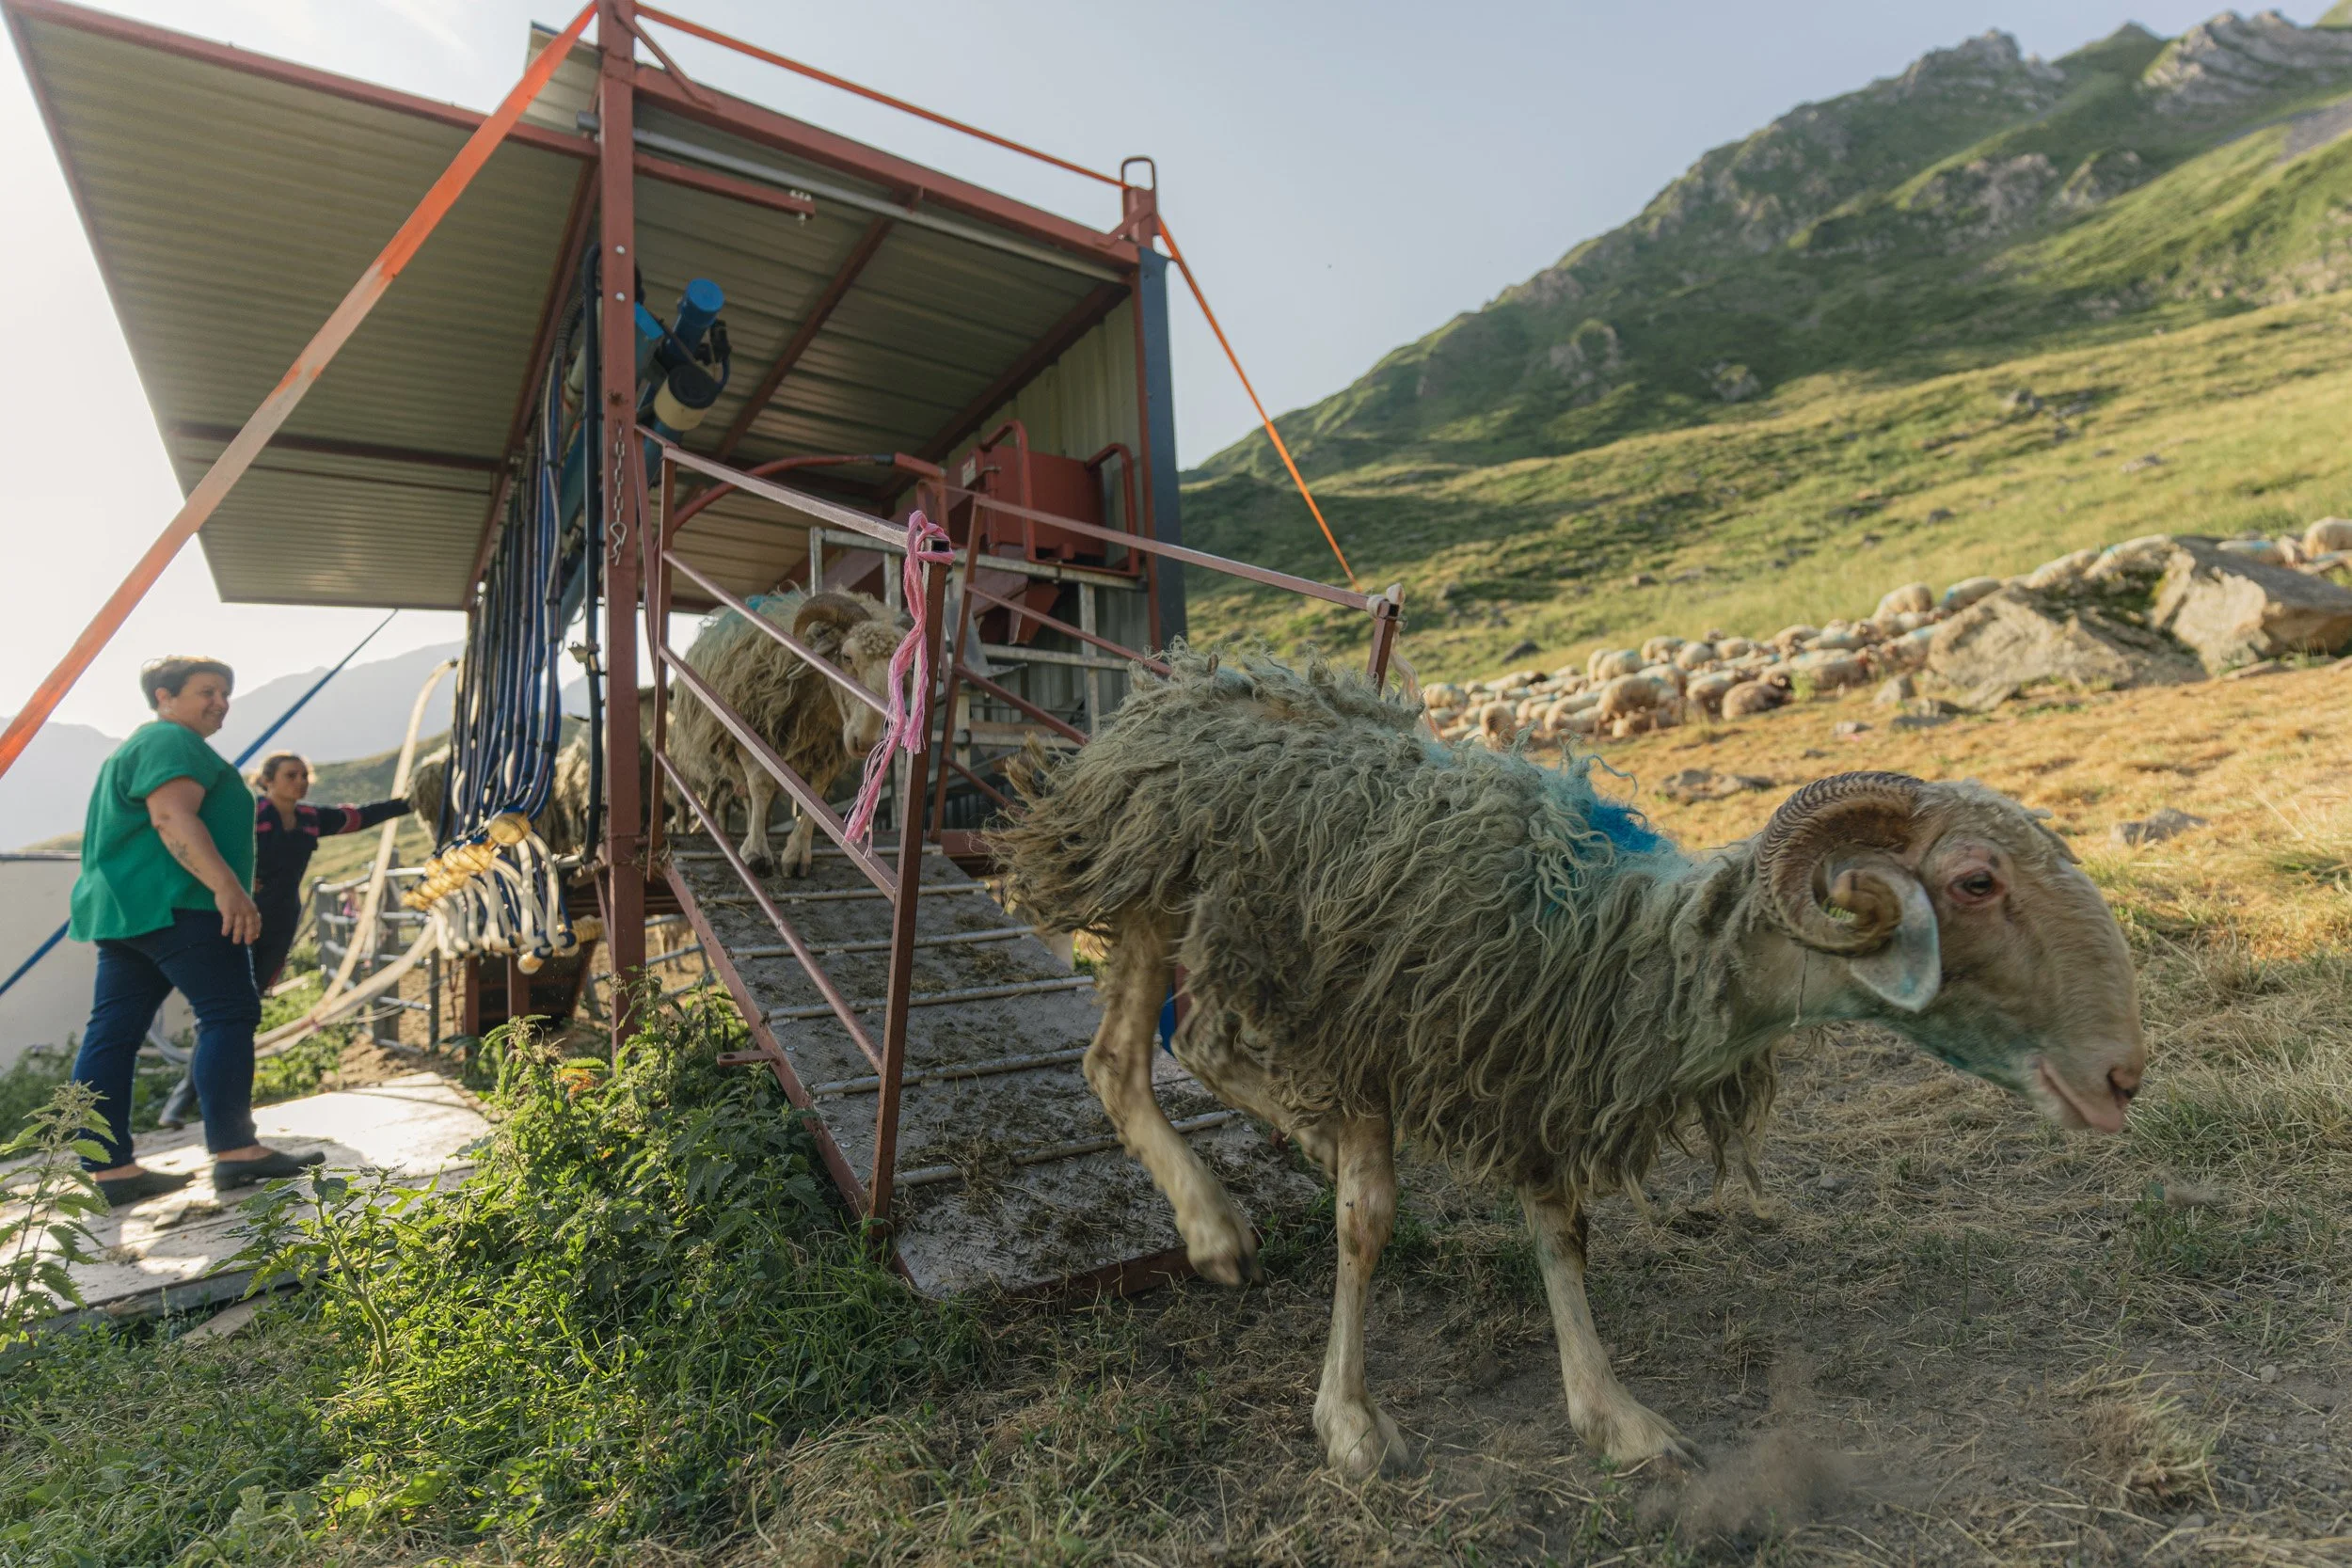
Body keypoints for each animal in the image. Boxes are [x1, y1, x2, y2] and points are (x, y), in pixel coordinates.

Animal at [664, 590, 907, 878]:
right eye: (847, 657)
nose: (866, 741)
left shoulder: (828, 749)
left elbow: (815, 798)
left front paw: (797, 854)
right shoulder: (747, 732)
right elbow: (761, 785)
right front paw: (756, 853)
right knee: (739, 793)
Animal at [995, 650, 2144, 1480]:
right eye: (1977, 880)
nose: (2124, 1078)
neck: (1622, 941)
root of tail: (1177, 685)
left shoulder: (1535, 1069)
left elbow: (1562, 1235)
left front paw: (1614, 1414)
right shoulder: (1376, 1028)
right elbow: (1367, 1221)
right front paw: (1352, 1421)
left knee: (1198, 1044)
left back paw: (1278, 1153)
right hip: (1160, 894)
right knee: (1117, 1060)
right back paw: (1213, 1225)